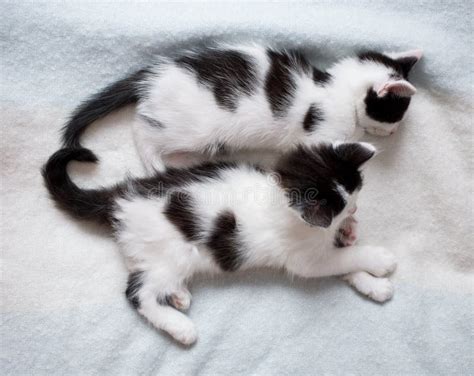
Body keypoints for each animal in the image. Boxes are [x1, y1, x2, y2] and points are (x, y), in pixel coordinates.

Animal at [44, 142, 398, 346]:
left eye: (356, 197)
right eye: (347, 204)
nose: (355, 211)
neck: (279, 195)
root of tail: (120, 196)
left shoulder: (314, 245)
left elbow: (342, 258)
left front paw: (371, 280)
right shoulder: (303, 258)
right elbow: (342, 260)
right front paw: (380, 260)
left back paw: (179, 296)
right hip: (173, 253)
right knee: (137, 293)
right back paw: (179, 325)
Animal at [62, 43, 422, 172]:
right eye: (396, 113)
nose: (395, 132)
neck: (337, 88)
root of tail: (154, 75)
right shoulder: (319, 131)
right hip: (191, 127)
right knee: (141, 129)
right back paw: (155, 162)